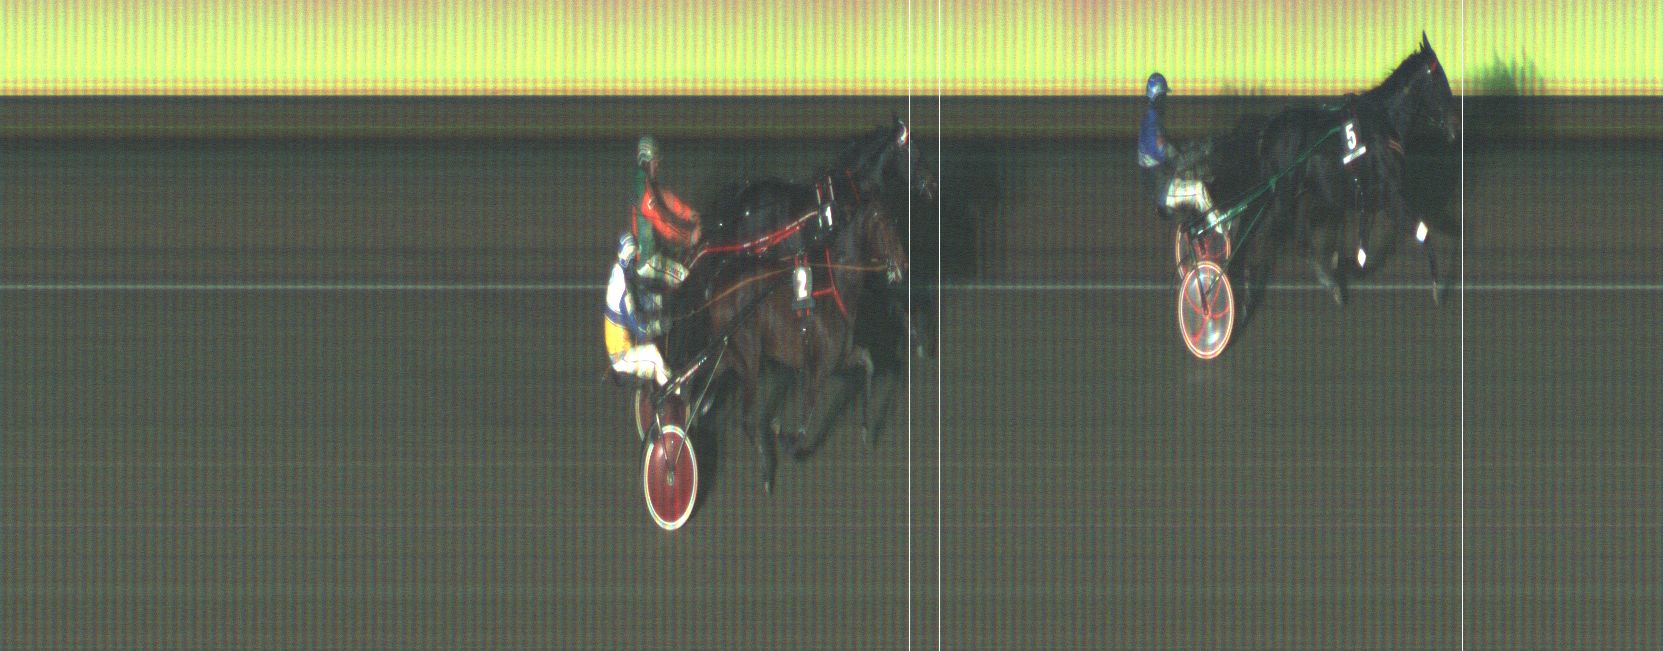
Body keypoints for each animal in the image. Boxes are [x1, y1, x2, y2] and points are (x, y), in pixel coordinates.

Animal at [1248, 33, 1459, 309]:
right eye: (1440, 79)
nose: (1455, 124)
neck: (1383, 124)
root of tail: (1268, 130)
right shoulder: (1391, 194)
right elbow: (1424, 233)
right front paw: (1436, 289)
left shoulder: (1371, 199)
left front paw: (1348, 263)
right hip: (1284, 195)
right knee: (1281, 236)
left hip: (1299, 194)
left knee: (1292, 235)